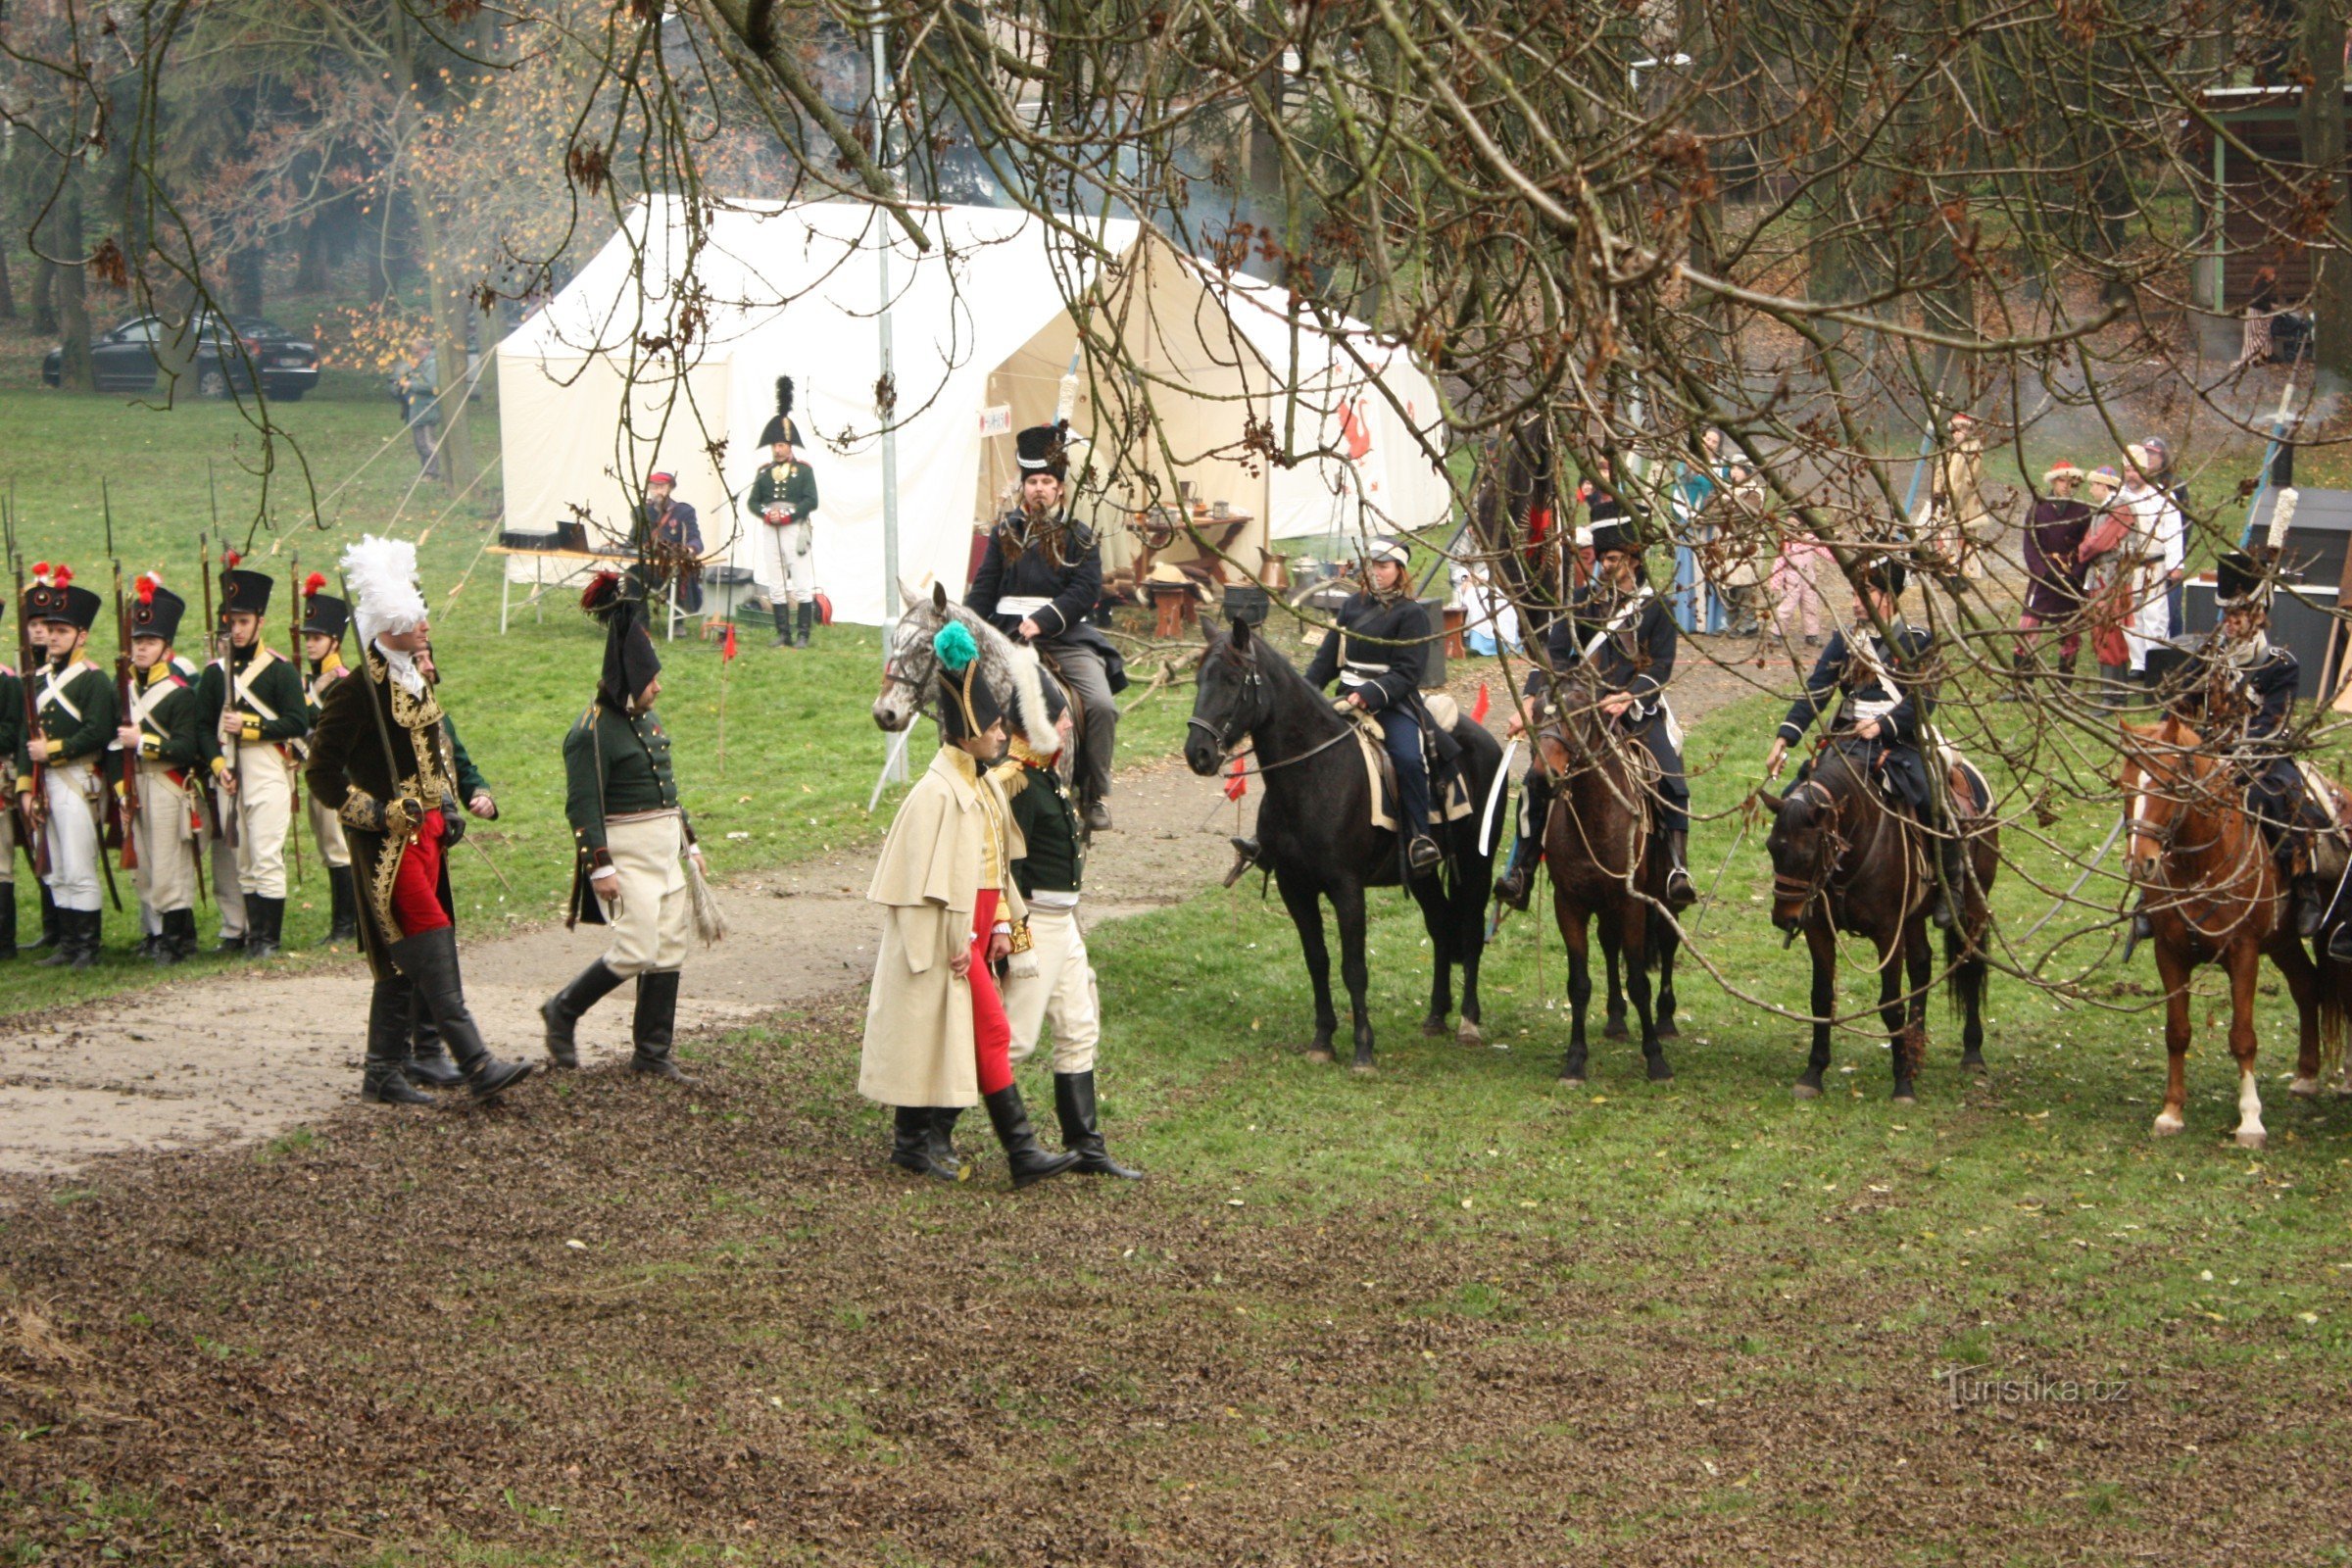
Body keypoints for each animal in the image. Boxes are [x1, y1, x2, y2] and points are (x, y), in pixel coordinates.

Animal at [1185, 620, 1495, 1071]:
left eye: (1231, 679)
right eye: (1198, 679)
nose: (1199, 753)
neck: (1313, 775)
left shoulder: (1347, 889)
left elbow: (1354, 967)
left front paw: (1363, 1049)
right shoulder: (1294, 887)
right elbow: (1317, 960)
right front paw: (1322, 1040)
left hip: (1475, 862)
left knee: (1470, 929)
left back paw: (1469, 1022)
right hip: (1421, 874)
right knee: (1439, 925)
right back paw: (1437, 1015)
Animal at [1533, 662, 1684, 1081]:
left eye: (1579, 716)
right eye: (1534, 714)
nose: (1541, 779)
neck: (1596, 814)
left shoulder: (1632, 904)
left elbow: (1639, 981)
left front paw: (1656, 1059)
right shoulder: (1569, 904)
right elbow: (1579, 984)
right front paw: (1575, 1059)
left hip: (1662, 898)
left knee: (1667, 942)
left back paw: (1666, 1020)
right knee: (1608, 941)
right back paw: (1616, 1018)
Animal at [1759, 738, 1994, 1100]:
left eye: (1808, 854)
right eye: (1772, 846)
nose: (1784, 918)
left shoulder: (1887, 934)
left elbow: (1891, 1005)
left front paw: (1902, 1085)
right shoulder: (1819, 930)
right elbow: (1822, 997)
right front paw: (1813, 1073)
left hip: (1972, 908)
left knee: (1970, 967)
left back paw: (1971, 1054)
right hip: (1913, 918)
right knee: (1922, 966)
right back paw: (1914, 1050)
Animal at [2117, 719, 2332, 1147]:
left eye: (2171, 783)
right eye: (2125, 784)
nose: (2140, 861)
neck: (2199, 865)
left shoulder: (2243, 952)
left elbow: (2242, 1037)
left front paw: (2250, 1120)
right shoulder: (2169, 952)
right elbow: (2177, 1032)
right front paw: (2171, 1112)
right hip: (2283, 942)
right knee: (2305, 986)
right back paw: (2306, 1074)